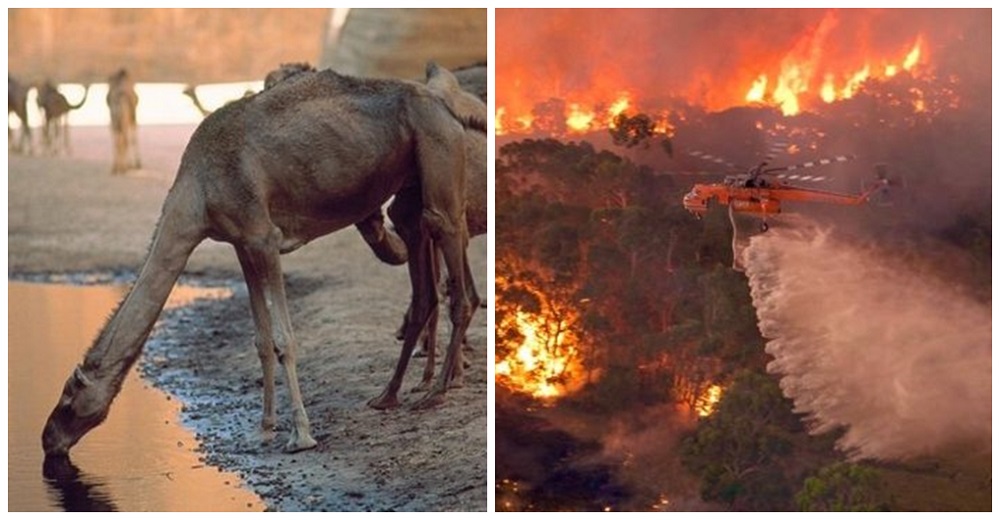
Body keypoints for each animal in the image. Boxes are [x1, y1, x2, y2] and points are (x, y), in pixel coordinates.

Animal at [41, 63, 486, 458]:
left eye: (68, 394)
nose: (47, 440)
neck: (196, 194)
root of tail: (445, 105)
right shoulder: (241, 243)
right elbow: (259, 338)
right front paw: (265, 428)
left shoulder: (263, 238)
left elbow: (284, 338)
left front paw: (301, 435)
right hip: (413, 182)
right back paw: (392, 395)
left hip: (438, 152)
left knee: (448, 248)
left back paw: (436, 392)